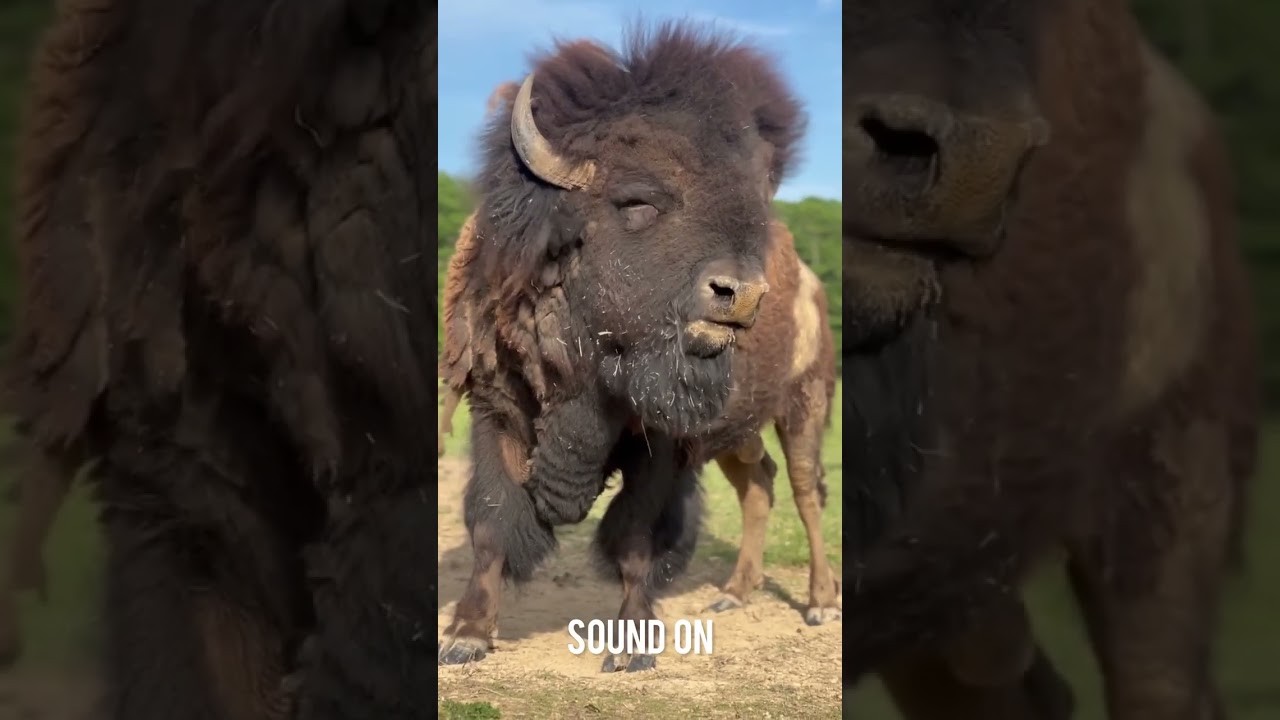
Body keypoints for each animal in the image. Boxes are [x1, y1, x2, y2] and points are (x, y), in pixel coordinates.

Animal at [435, 23, 840, 673]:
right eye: (638, 201)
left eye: (749, 209)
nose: (741, 294)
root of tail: (811, 282)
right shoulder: (496, 409)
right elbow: (492, 522)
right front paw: (467, 636)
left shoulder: (662, 444)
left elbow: (633, 537)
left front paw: (630, 646)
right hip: (739, 433)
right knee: (759, 484)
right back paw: (733, 593)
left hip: (805, 405)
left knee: (807, 491)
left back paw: (821, 603)